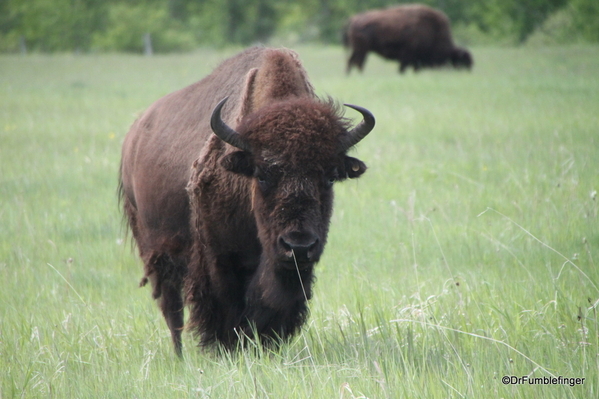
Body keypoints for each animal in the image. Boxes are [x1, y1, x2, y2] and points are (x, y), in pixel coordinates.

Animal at [118, 47, 376, 356]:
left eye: (329, 177)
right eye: (262, 175)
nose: (297, 246)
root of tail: (133, 136)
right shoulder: (220, 258)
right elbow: (225, 306)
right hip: (155, 250)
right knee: (172, 309)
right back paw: (180, 357)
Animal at [344, 4, 472, 74]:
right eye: (463, 62)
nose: (468, 72)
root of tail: (354, 18)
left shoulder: (414, 60)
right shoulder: (407, 56)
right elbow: (403, 69)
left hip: (358, 49)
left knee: (352, 61)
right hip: (362, 50)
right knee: (358, 63)